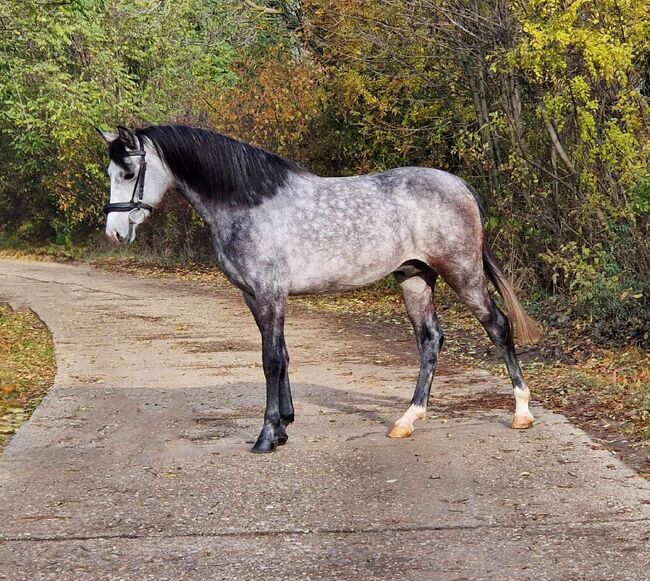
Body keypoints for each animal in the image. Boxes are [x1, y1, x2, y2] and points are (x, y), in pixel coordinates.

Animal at [98, 124, 540, 454]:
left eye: (128, 173)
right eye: (110, 174)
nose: (114, 234)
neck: (248, 204)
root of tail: (460, 186)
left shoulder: (270, 293)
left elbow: (271, 360)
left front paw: (266, 436)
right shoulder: (254, 296)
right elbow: (282, 356)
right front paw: (283, 427)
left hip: (462, 273)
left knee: (498, 326)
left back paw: (521, 412)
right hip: (415, 277)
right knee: (430, 338)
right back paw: (407, 419)